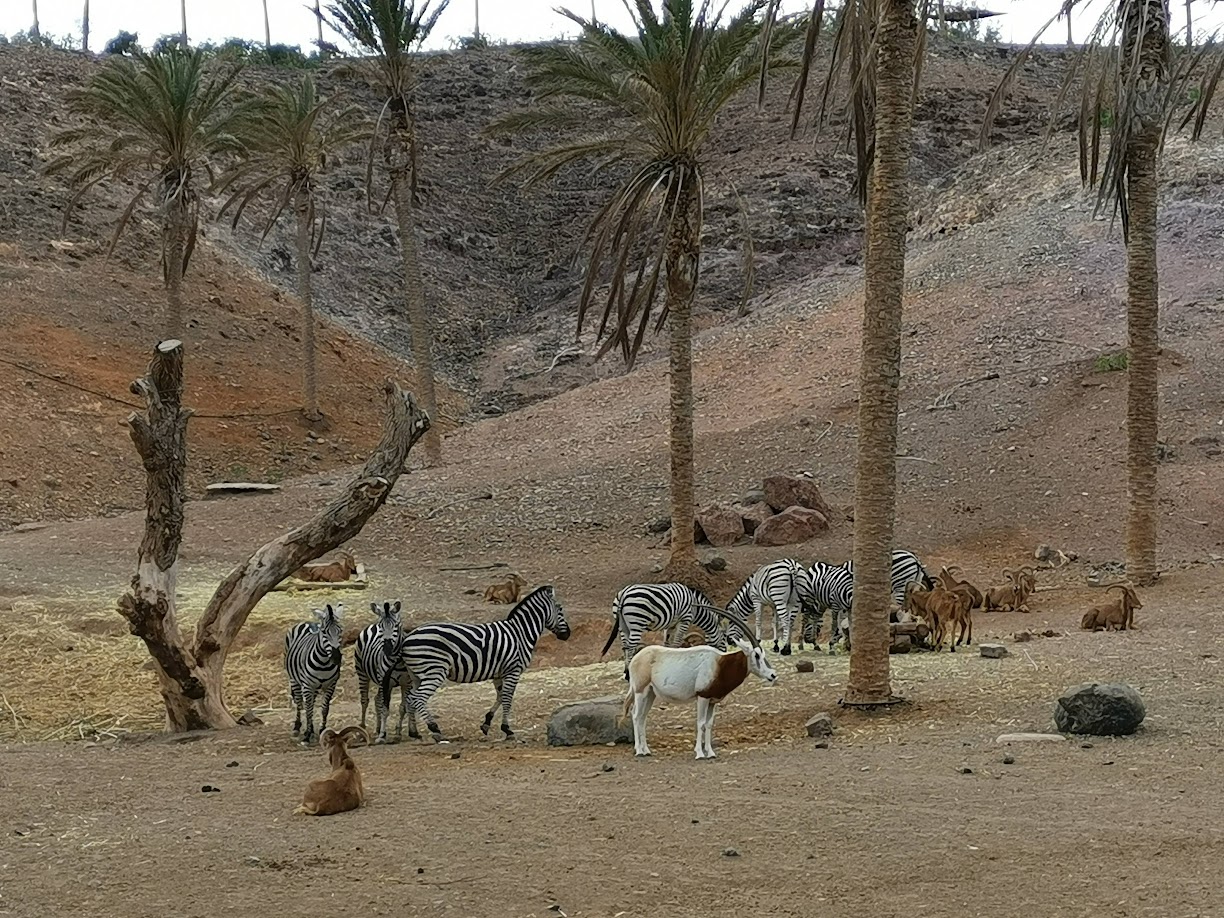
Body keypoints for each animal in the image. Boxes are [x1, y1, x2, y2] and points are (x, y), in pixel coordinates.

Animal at [282, 604, 345, 749]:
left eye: (340, 631)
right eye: (324, 632)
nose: (336, 658)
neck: (324, 663)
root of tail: (307, 622)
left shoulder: (331, 685)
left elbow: (324, 709)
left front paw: (322, 731)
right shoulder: (307, 685)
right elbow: (309, 709)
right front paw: (306, 736)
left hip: (314, 687)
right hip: (295, 680)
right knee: (300, 703)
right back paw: (298, 728)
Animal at [352, 604, 413, 739]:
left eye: (396, 625)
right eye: (381, 627)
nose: (387, 649)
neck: (396, 661)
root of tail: (371, 625)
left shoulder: (406, 683)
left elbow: (403, 707)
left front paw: (398, 731)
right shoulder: (386, 684)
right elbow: (385, 709)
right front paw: (382, 735)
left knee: (376, 700)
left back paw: (378, 727)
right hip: (362, 673)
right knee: (365, 700)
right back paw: (362, 727)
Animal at [379, 585, 570, 744]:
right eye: (560, 609)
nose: (567, 634)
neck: (520, 633)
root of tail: (407, 638)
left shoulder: (499, 673)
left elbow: (500, 697)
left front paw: (487, 723)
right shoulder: (513, 670)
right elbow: (508, 699)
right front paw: (508, 730)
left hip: (417, 675)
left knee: (410, 699)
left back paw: (412, 732)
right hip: (434, 672)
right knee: (418, 698)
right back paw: (435, 729)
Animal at [621, 641, 773, 763]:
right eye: (756, 655)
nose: (773, 675)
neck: (719, 664)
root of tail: (636, 657)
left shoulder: (712, 701)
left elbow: (709, 724)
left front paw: (711, 753)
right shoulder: (702, 697)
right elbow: (701, 724)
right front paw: (699, 753)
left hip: (651, 694)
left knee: (642, 717)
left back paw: (646, 750)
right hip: (641, 691)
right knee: (636, 715)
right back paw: (639, 751)